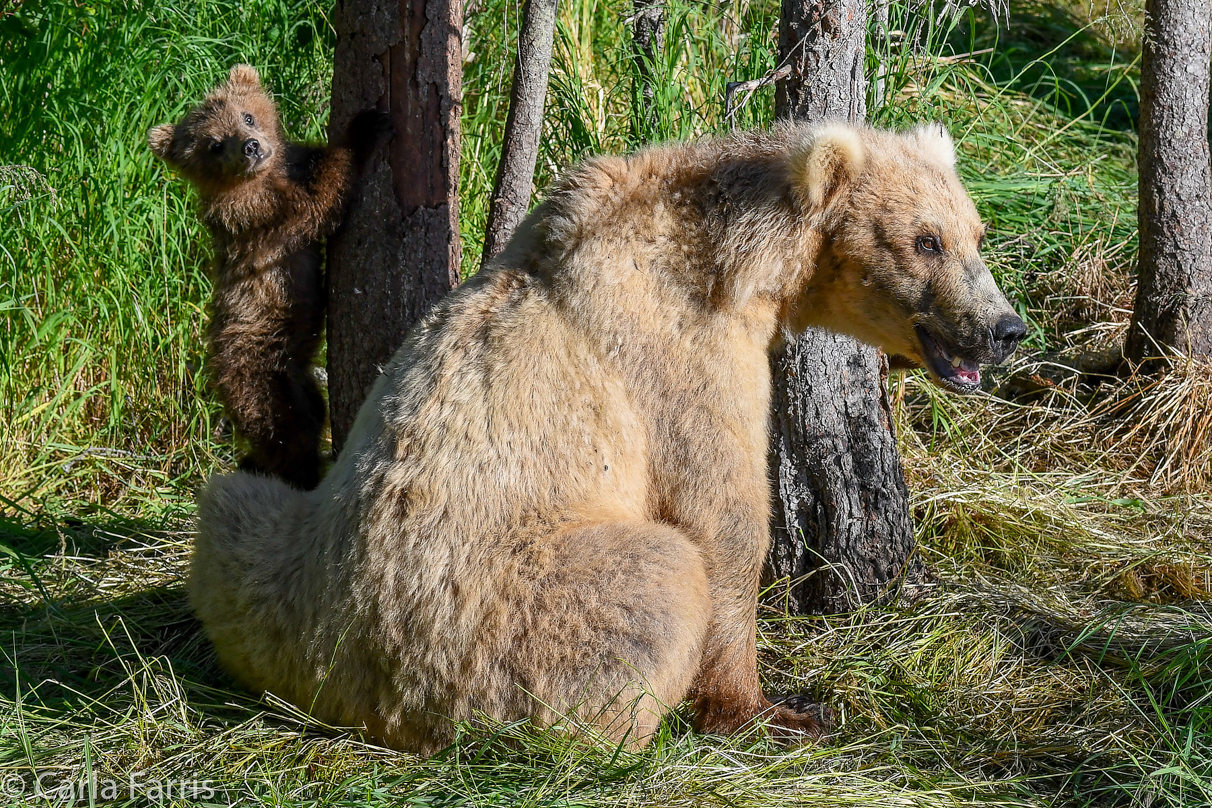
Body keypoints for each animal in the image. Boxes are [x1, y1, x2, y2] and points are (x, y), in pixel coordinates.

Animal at [186, 123, 1022, 755]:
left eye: (976, 233)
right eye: (925, 240)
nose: (1004, 328)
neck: (734, 258)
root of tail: (347, 683)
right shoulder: (680, 350)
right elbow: (722, 517)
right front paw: (768, 708)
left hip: (269, 559)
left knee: (234, 503)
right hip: (492, 610)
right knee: (658, 578)